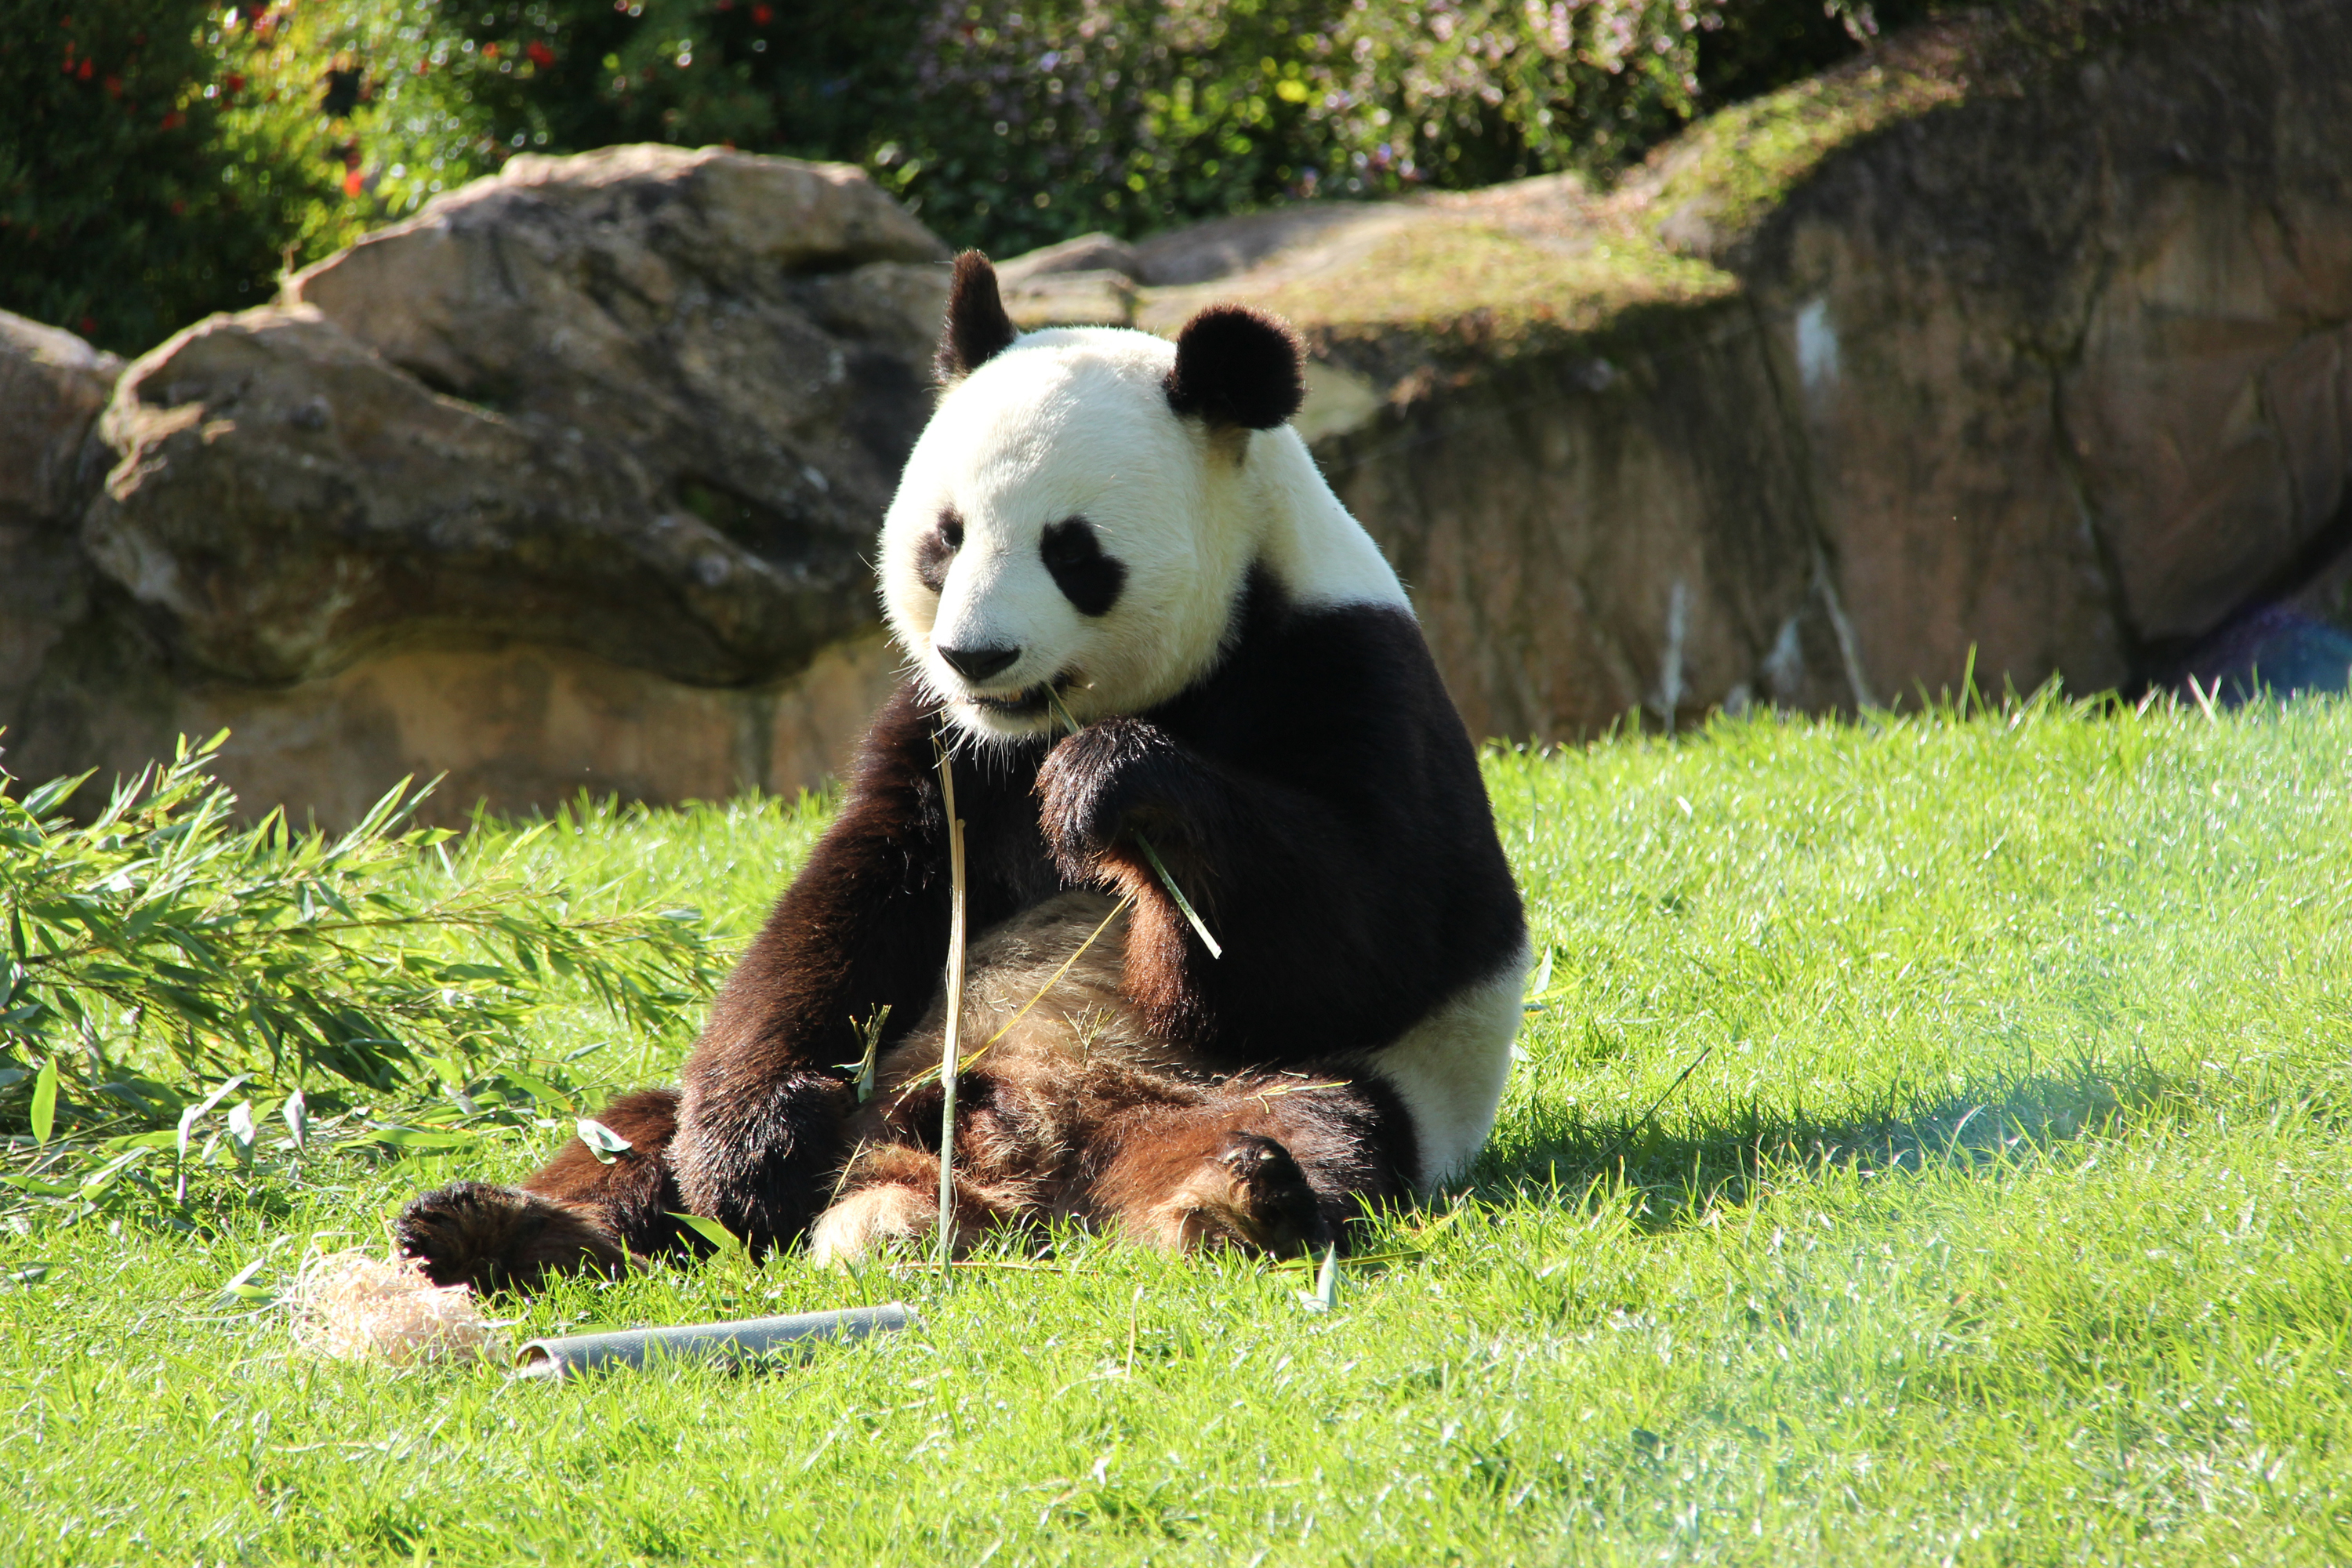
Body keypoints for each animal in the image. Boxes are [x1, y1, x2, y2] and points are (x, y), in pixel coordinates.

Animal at [395, 257, 1534, 1288]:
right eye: (944, 538)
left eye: (1073, 551)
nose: (975, 656)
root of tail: (988, 1173)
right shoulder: (941, 743)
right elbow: (850, 907)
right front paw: (752, 1153)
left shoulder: (1350, 671)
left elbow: (1370, 927)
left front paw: (1117, 791)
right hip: (866, 1090)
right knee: (638, 1132)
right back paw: (504, 1231)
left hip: (1265, 1090)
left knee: (1315, 1128)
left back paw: (1233, 1200)